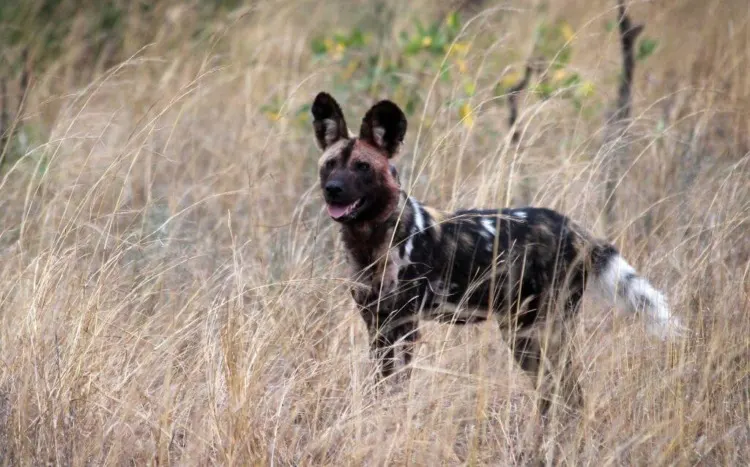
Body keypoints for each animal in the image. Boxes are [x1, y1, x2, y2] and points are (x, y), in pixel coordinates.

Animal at [312, 93, 688, 414]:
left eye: (362, 167)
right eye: (329, 164)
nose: (333, 190)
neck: (370, 240)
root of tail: (576, 229)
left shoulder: (404, 326)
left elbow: (395, 389)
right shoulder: (376, 324)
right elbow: (381, 385)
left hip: (536, 331)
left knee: (568, 394)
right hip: (523, 332)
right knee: (557, 394)